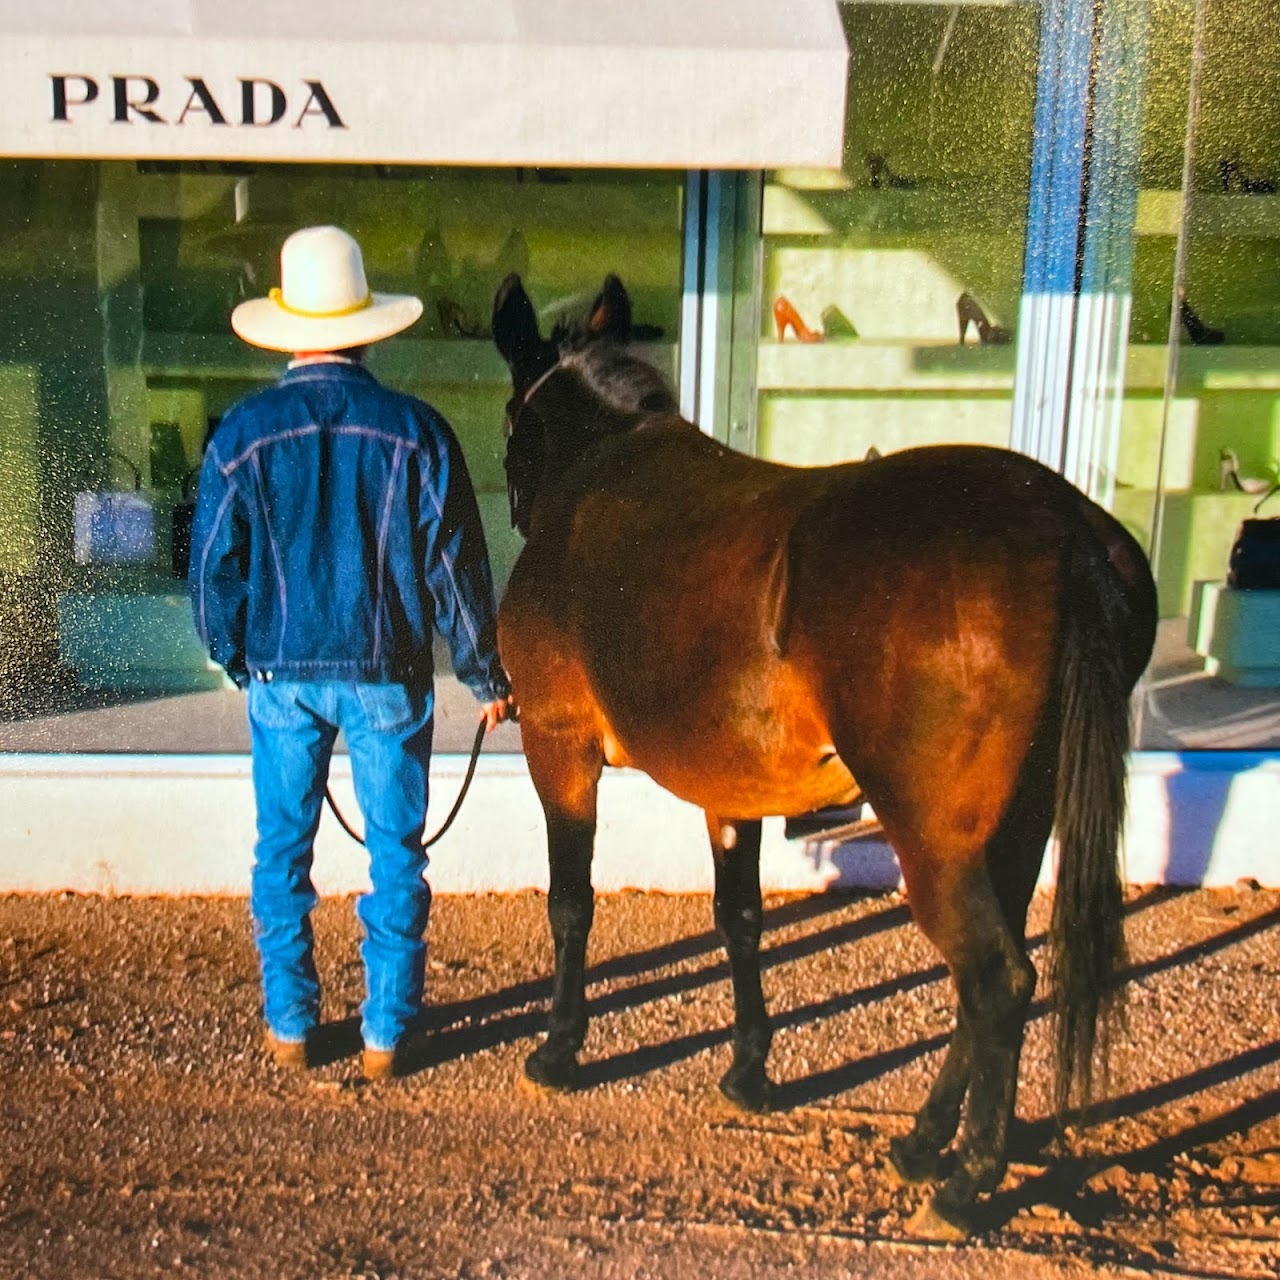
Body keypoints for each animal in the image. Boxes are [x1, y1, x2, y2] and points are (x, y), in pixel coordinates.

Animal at [488, 272, 1162, 1239]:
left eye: (510, 423)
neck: (601, 468)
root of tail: (1066, 532)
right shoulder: (729, 790)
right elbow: (739, 919)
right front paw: (748, 1071)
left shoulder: (558, 743)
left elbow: (571, 905)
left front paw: (559, 1050)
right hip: (1017, 824)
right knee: (986, 982)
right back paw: (924, 1143)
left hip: (933, 837)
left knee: (996, 980)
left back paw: (964, 1181)